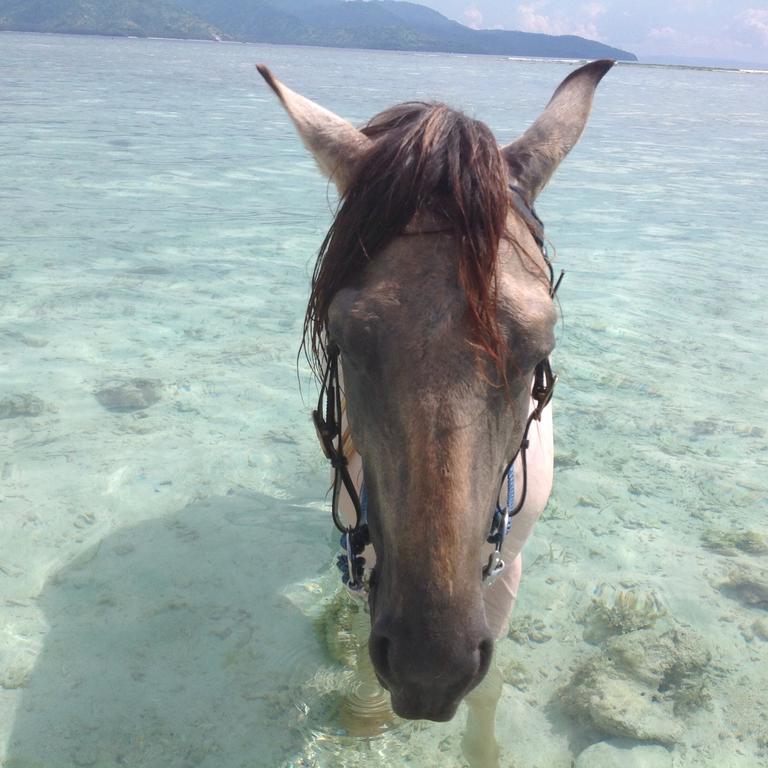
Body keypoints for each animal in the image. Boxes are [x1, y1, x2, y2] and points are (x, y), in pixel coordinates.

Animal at [258, 58, 612, 756]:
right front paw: (365, 715)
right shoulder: (365, 543)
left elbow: (490, 684)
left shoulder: (504, 569)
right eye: (345, 338)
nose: (430, 667)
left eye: (541, 346)